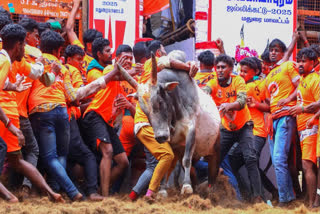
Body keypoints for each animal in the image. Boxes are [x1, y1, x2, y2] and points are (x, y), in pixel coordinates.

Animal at [119, 51, 221, 195]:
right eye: (144, 110)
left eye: (160, 101)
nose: (160, 136)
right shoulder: (171, 141)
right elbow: (167, 164)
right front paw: (162, 190)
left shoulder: (191, 130)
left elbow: (186, 160)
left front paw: (186, 187)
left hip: (214, 149)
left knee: (213, 171)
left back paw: (212, 191)